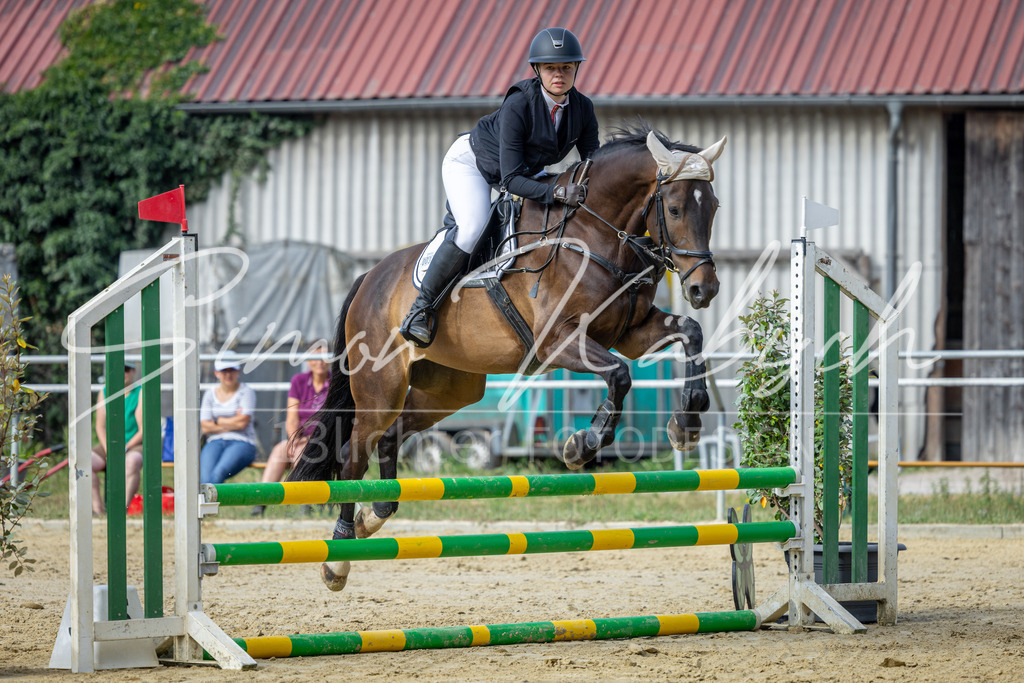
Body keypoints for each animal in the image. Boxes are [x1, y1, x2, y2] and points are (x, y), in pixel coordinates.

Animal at [290, 121, 725, 591]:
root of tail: (370, 277)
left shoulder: (630, 332)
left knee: (392, 437)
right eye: (676, 209)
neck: (594, 237)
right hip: (380, 387)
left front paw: (686, 424)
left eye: (713, 207)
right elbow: (620, 374)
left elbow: (690, 333)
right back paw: (338, 558)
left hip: (448, 390)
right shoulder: (557, 341)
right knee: (354, 451)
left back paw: (375, 516)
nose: (704, 289)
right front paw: (582, 446)